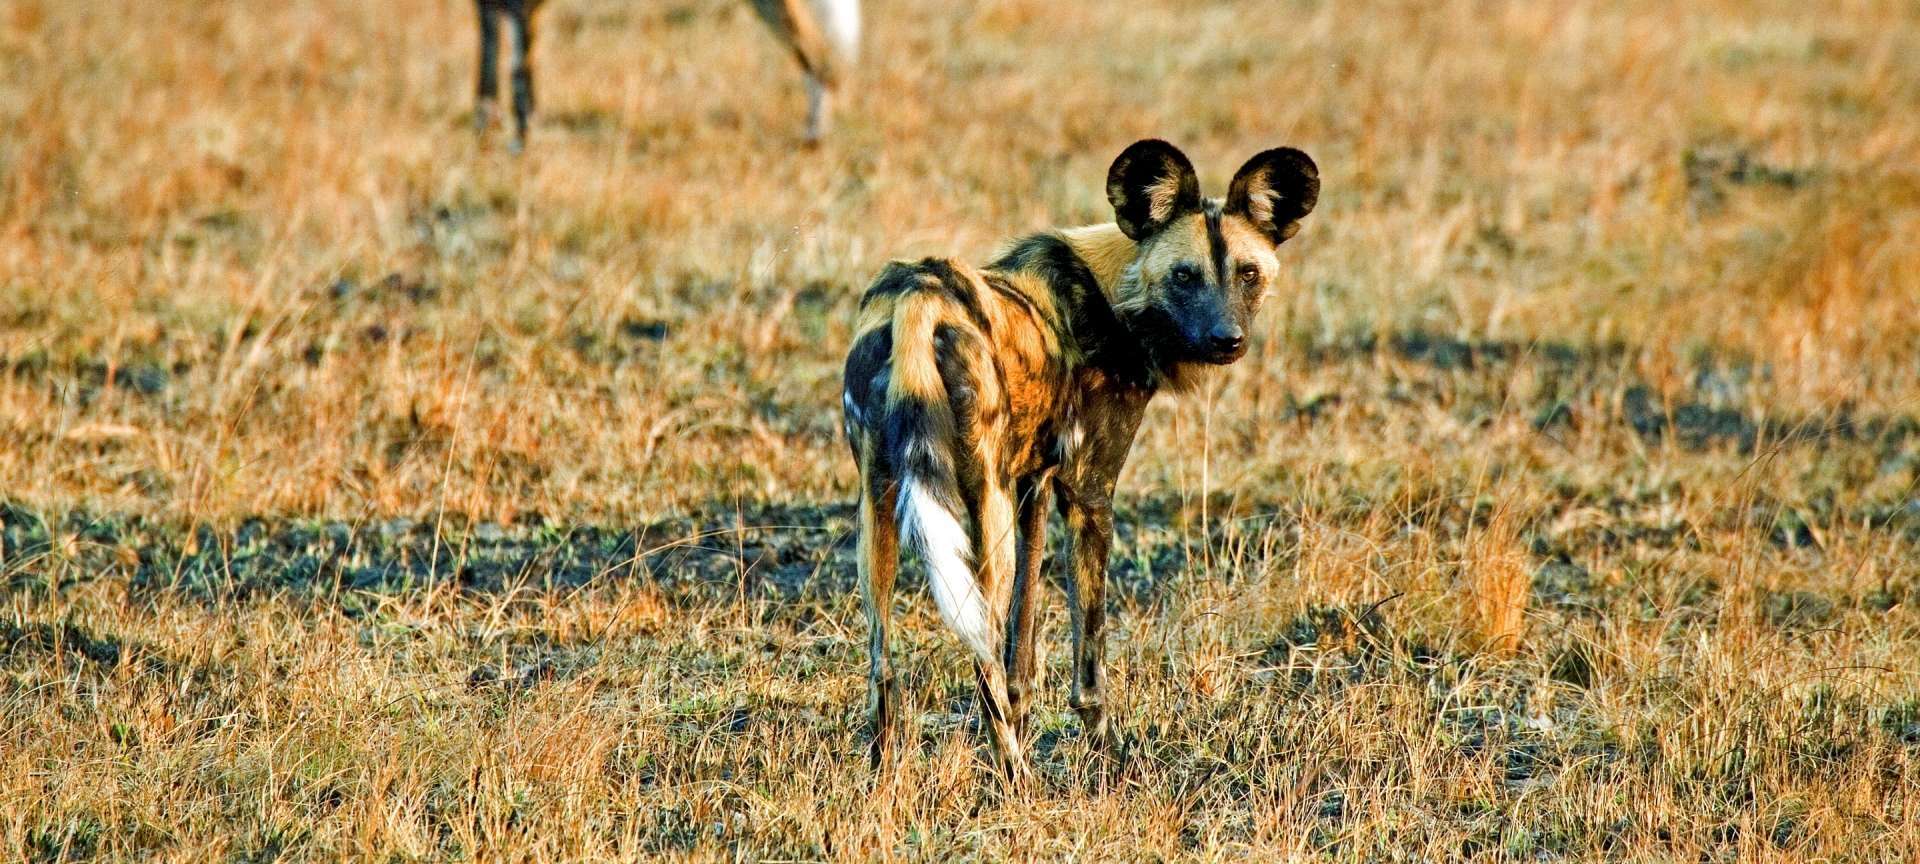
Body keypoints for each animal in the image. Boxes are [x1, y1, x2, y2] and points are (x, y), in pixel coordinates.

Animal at [472, 0, 864, 149]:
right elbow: (491, 66)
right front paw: (487, 129)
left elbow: (519, 72)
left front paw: (521, 142)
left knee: (821, 61)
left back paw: (813, 136)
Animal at [840, 140, 1320, 775]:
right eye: (1184, 276)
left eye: (1248, 273)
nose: (1227, 339)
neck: (1115, 298)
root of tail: (917, 294)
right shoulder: (1089, 495)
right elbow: (1086, 660)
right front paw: (1107, 759)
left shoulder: (1033, 489)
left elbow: (1021, 654)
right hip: (984, 514)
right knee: (981, 661)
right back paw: (1017, 779)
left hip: (881, 506)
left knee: (883, 663)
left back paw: (884, 768)